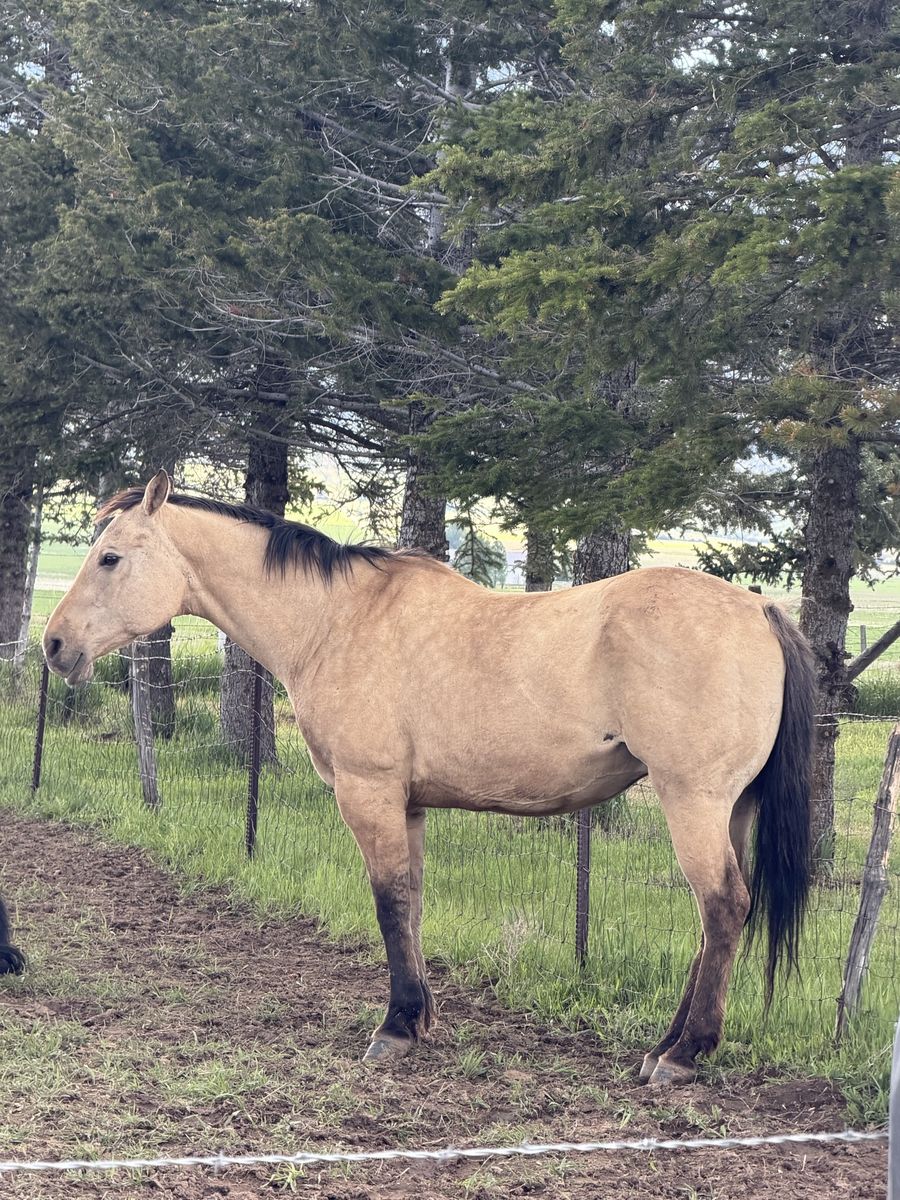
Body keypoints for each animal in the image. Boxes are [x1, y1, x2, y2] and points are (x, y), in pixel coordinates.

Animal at [43, 470, 814, 1085]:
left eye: (110, 557)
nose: (54, 645)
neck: (337, 620)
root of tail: (758, 608)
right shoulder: (407, 806)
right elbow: (411, 902)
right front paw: (420, 1020)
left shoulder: (369, 794)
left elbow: (388, 903)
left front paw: (395, 1026)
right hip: (728, 809)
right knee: (716, 921)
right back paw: (666, 1044)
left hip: (692, 801)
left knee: (722, 907)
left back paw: (684, 1054)